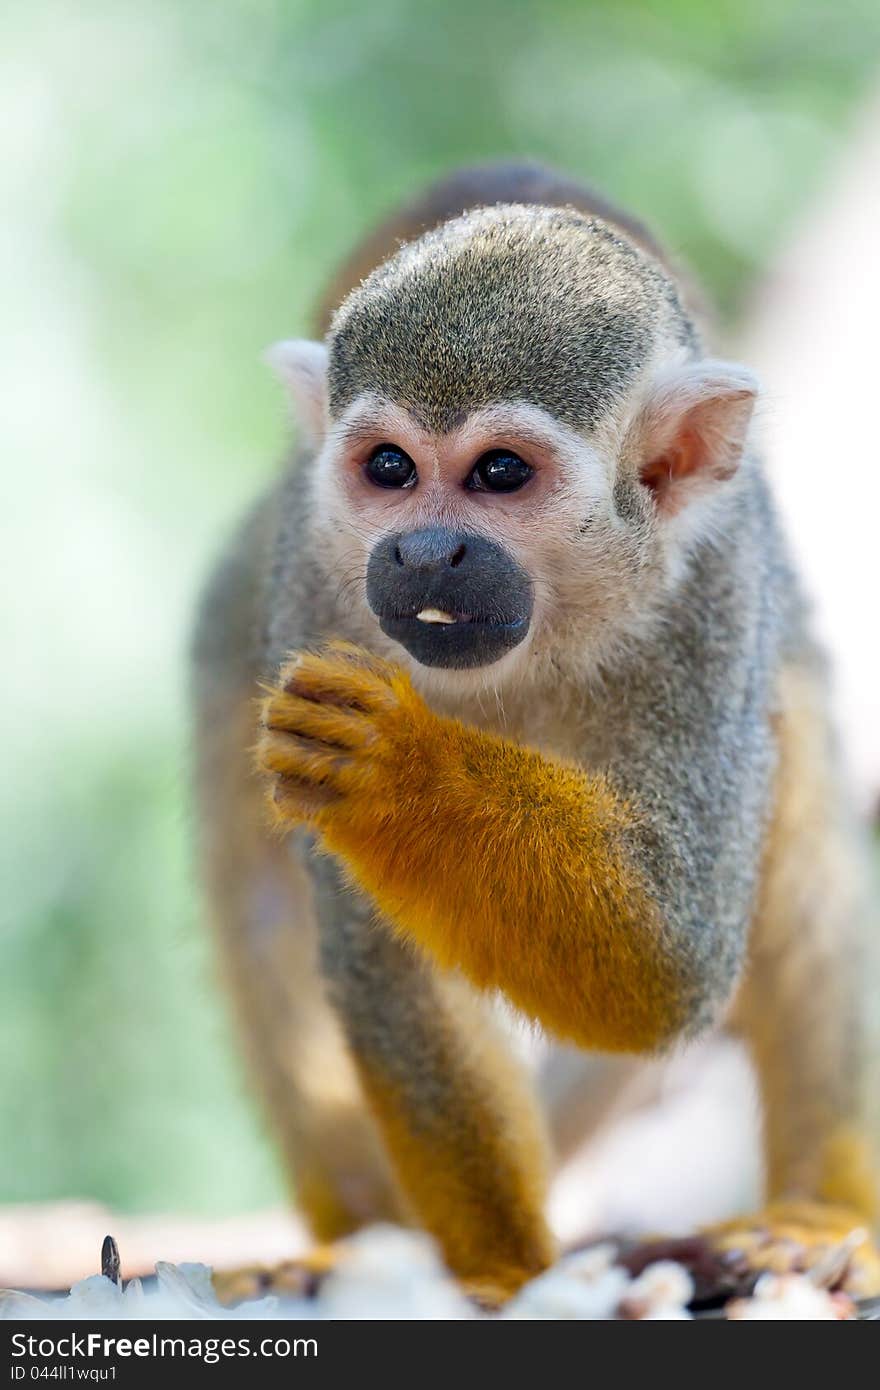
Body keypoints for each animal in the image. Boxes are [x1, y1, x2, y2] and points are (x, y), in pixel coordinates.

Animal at [191, 162, 878, 1301]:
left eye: (501, 474)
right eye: (389, 468)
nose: (424, 553)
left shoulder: (714, 589)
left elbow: (673, 961)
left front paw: (400, 771)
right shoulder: (311, 591)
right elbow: (383, 966)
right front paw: (501, 1268)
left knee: (807, 864)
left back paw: (819, 1215)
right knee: (257, 897)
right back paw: (356, 1236)